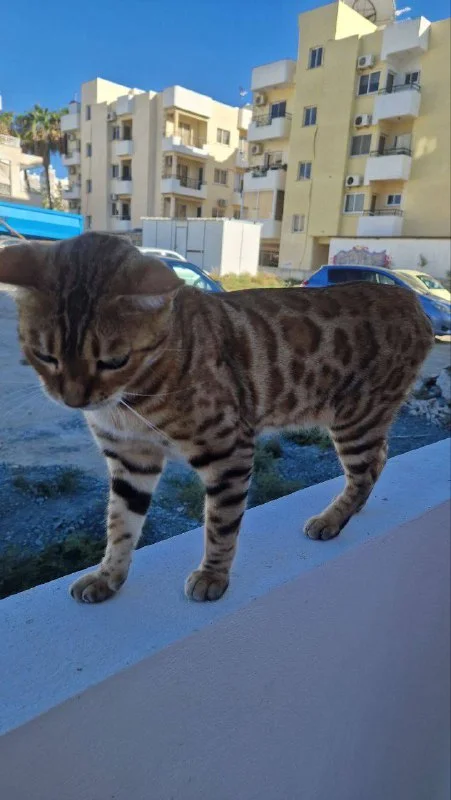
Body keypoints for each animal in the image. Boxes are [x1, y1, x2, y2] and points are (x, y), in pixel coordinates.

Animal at [0, 233, 433, 603]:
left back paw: (333, 519)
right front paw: (108, 576)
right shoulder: (131, 459)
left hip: (355, 418)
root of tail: (415, 303)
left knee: (366, 470)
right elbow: (120, 525)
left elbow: (221, 524)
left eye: (114, 361)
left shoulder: (229, 450)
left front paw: (212, 575)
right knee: (379, 459)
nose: (73, 399)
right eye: (45, 356)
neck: (128, 402)